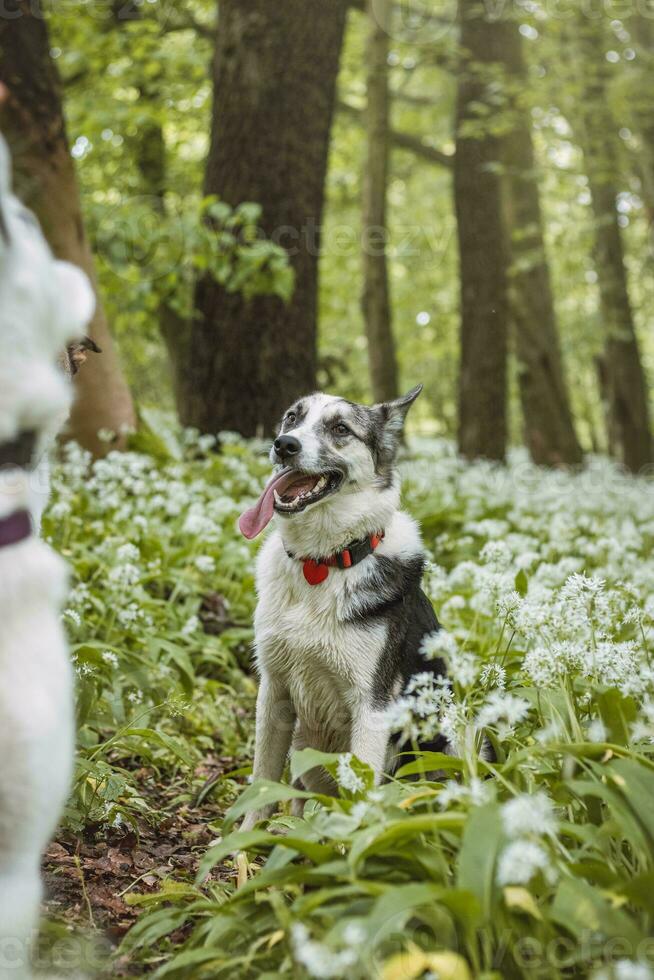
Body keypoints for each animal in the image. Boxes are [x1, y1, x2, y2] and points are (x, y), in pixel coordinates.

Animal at [238, 386, 448, 824]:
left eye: (340, 429)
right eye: (292, 417)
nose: (284, 445)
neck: (322, 563)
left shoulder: (372, 707)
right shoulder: (273, 693)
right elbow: (262, 783)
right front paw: (244, 840)